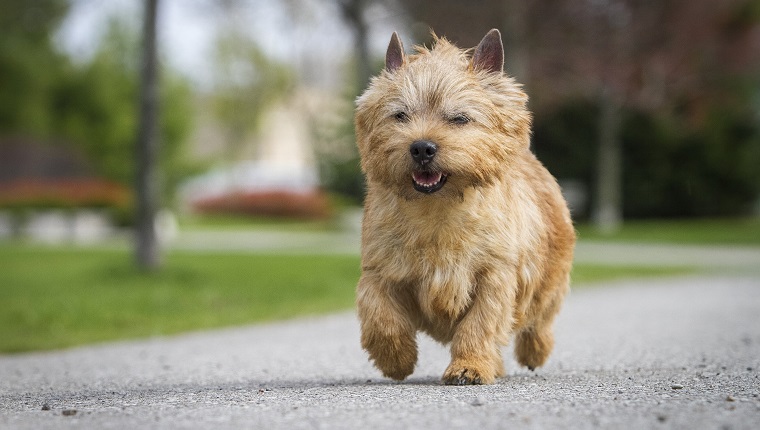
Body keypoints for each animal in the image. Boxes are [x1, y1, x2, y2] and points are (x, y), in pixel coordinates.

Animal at [356, 30, 576, 386]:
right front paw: (397, 360)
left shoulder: (494, 275)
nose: (421, 147)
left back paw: (534, 352)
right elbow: (380, 317)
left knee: (540, 318)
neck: (437, 208)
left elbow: (480, 324)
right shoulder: (381, 270)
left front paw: (469, 366)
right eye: (400, 115)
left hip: (550, 275)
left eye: (460, 118)